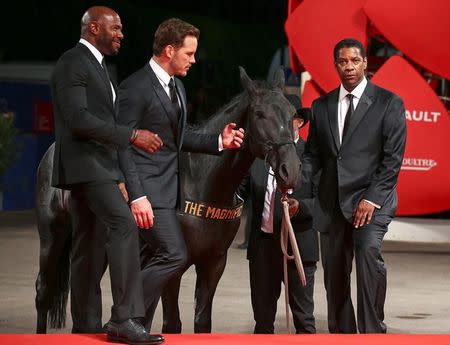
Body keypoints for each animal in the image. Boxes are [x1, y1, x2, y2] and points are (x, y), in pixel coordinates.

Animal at [35, 67, 300, 334]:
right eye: (259, 113)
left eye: (291, 114)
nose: (290, 169)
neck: (202, 182)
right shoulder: (172, 267)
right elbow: (171, 323)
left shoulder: (214, 263)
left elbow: (202, 321)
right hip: (53, 237)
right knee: (45, 291)